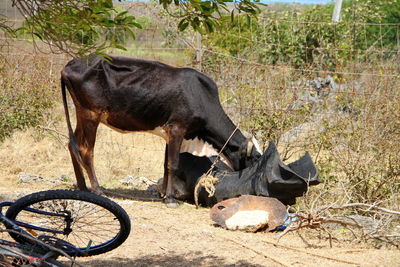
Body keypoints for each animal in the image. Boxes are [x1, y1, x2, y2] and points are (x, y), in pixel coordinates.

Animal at [59, 56, 260, 207]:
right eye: (255, 157)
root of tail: (71, 64)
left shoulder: (169, 134)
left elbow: (165, 165)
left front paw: (164, 194)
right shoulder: (177, 129)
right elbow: (173, 164)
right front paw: (170, 199)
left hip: (82, 114)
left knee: (72, 144)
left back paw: (83, 187)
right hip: (91, 115)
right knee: (86, 150)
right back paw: (97, 189)